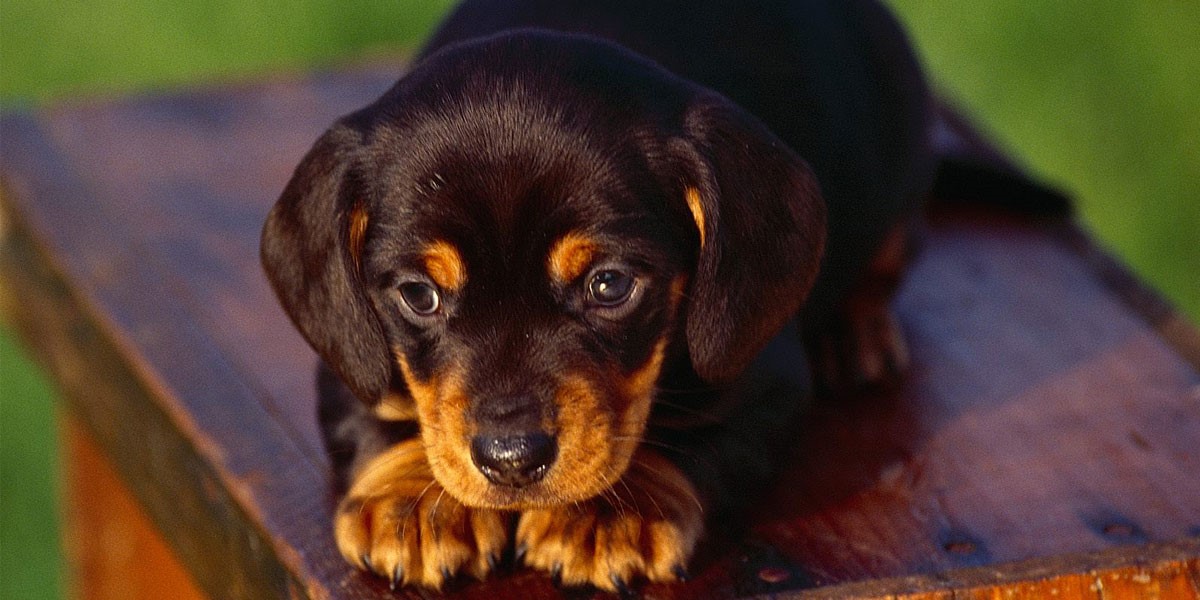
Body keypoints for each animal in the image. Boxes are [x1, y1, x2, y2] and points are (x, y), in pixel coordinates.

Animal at [262, 0, 931, 590]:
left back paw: (855, 332)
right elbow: (374, 407)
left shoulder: (762, 368)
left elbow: (693, 429)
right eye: (419, 295)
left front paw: (609, 511)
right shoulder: (348, 350)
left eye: (609, 285)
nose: (512, 458)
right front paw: (416, 502)